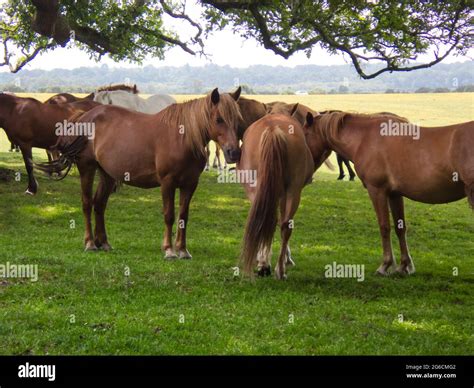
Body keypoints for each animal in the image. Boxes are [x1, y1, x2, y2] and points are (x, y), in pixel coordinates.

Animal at [37, 88, 243, 258]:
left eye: (238, 120)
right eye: (219, 119)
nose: (234, 153)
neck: (183, 138)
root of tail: (84, 117)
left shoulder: (190, 184)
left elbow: (184, 216)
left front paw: (183, 250)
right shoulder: (167, 183)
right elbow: (169, 215)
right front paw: (169, 250)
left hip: (107, 175)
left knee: (100, 204)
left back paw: (103, 242)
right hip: (87, 168)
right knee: (87, 204)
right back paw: (90, 243)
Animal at [304, 111, 474, 276]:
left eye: (304, 134)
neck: (364, 139)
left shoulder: (377, 190)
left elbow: (384, 227)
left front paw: (385, 265)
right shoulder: (394, 194)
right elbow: (400, 228)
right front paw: (404, 265)